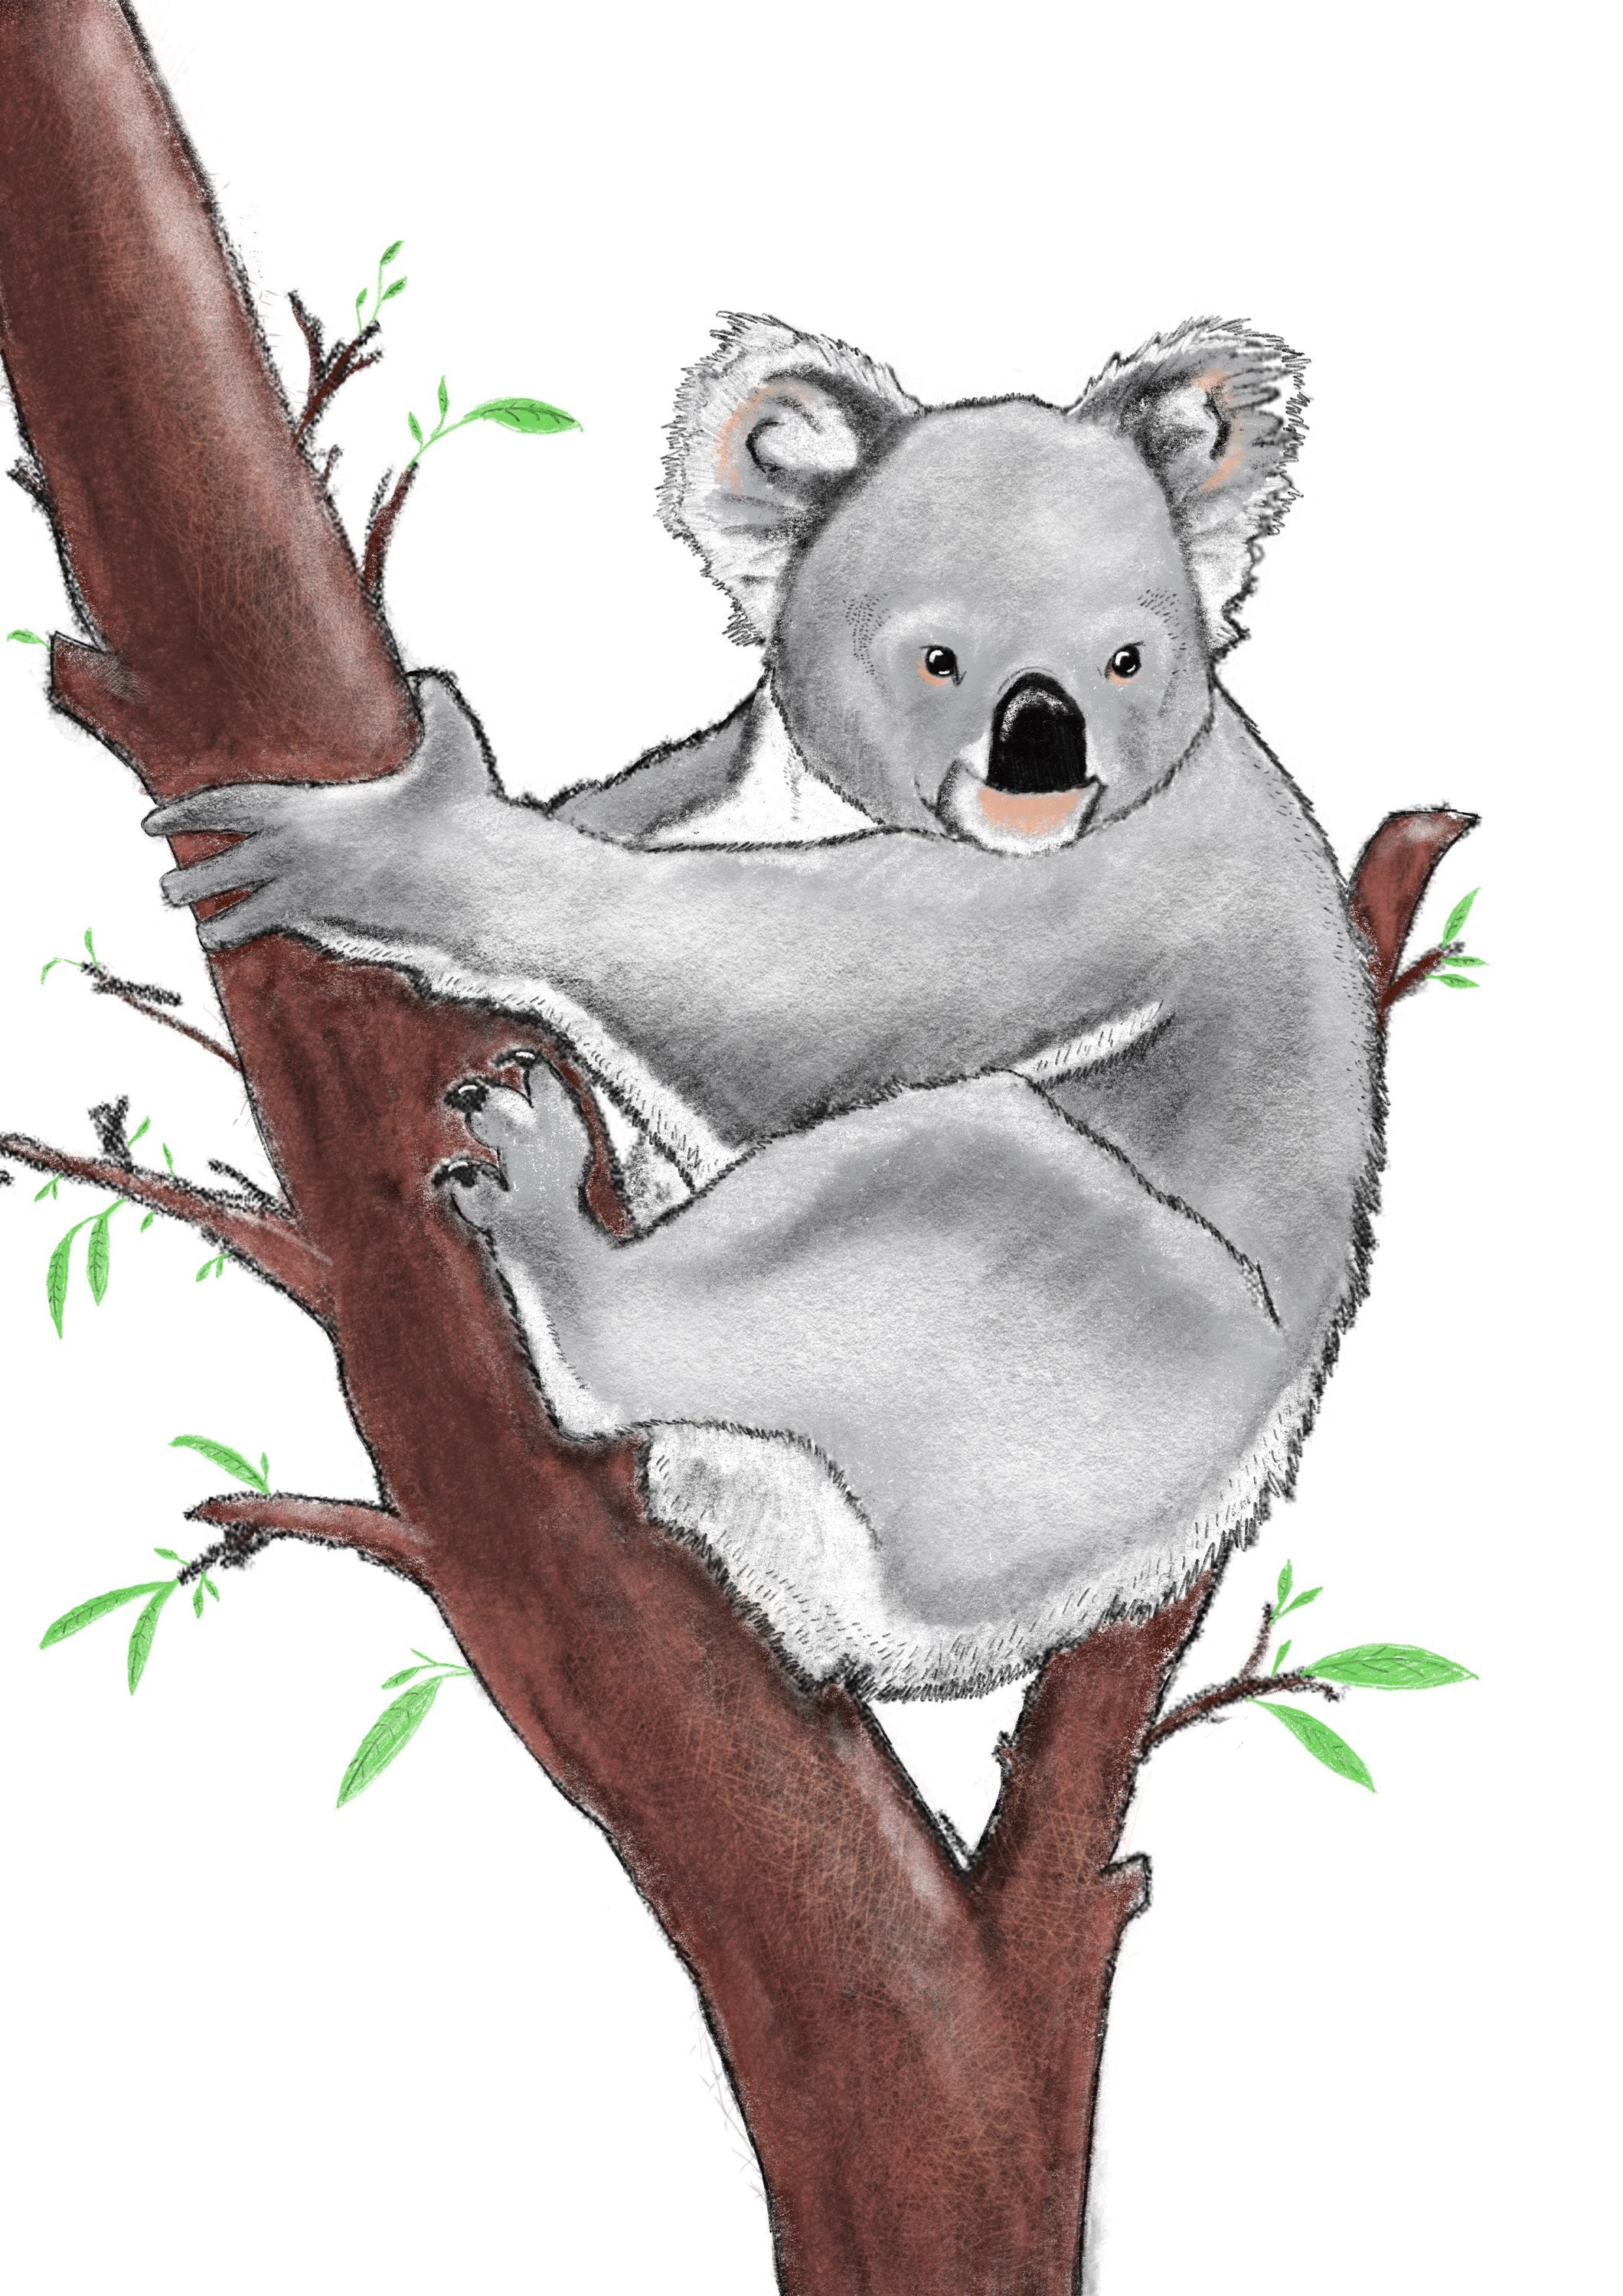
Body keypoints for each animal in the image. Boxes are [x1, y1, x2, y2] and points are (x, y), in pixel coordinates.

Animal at [148, 315, 1381, 1699]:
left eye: (1127, 659)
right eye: (938, 658)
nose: (1044, 748)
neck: (816, 799)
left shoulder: (1114, 884)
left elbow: (776, 1011)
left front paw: (397, 846)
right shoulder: (691, 781)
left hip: (1086, 1371)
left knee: (935, 1181)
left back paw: (549, 1224)